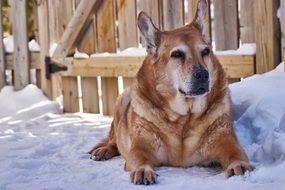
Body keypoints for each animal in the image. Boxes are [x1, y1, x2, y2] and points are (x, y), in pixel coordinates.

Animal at [89, 0, 253, 185]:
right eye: (177, 54)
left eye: (206, 52)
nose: (203, 75)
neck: (184, 117)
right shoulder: (141, 145)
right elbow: (138, 156)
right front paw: (143, 170)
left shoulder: (225, 139)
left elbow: (236, 153)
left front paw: (239, 165)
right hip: (121, 101)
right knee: (113, 139)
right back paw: (104, 150)